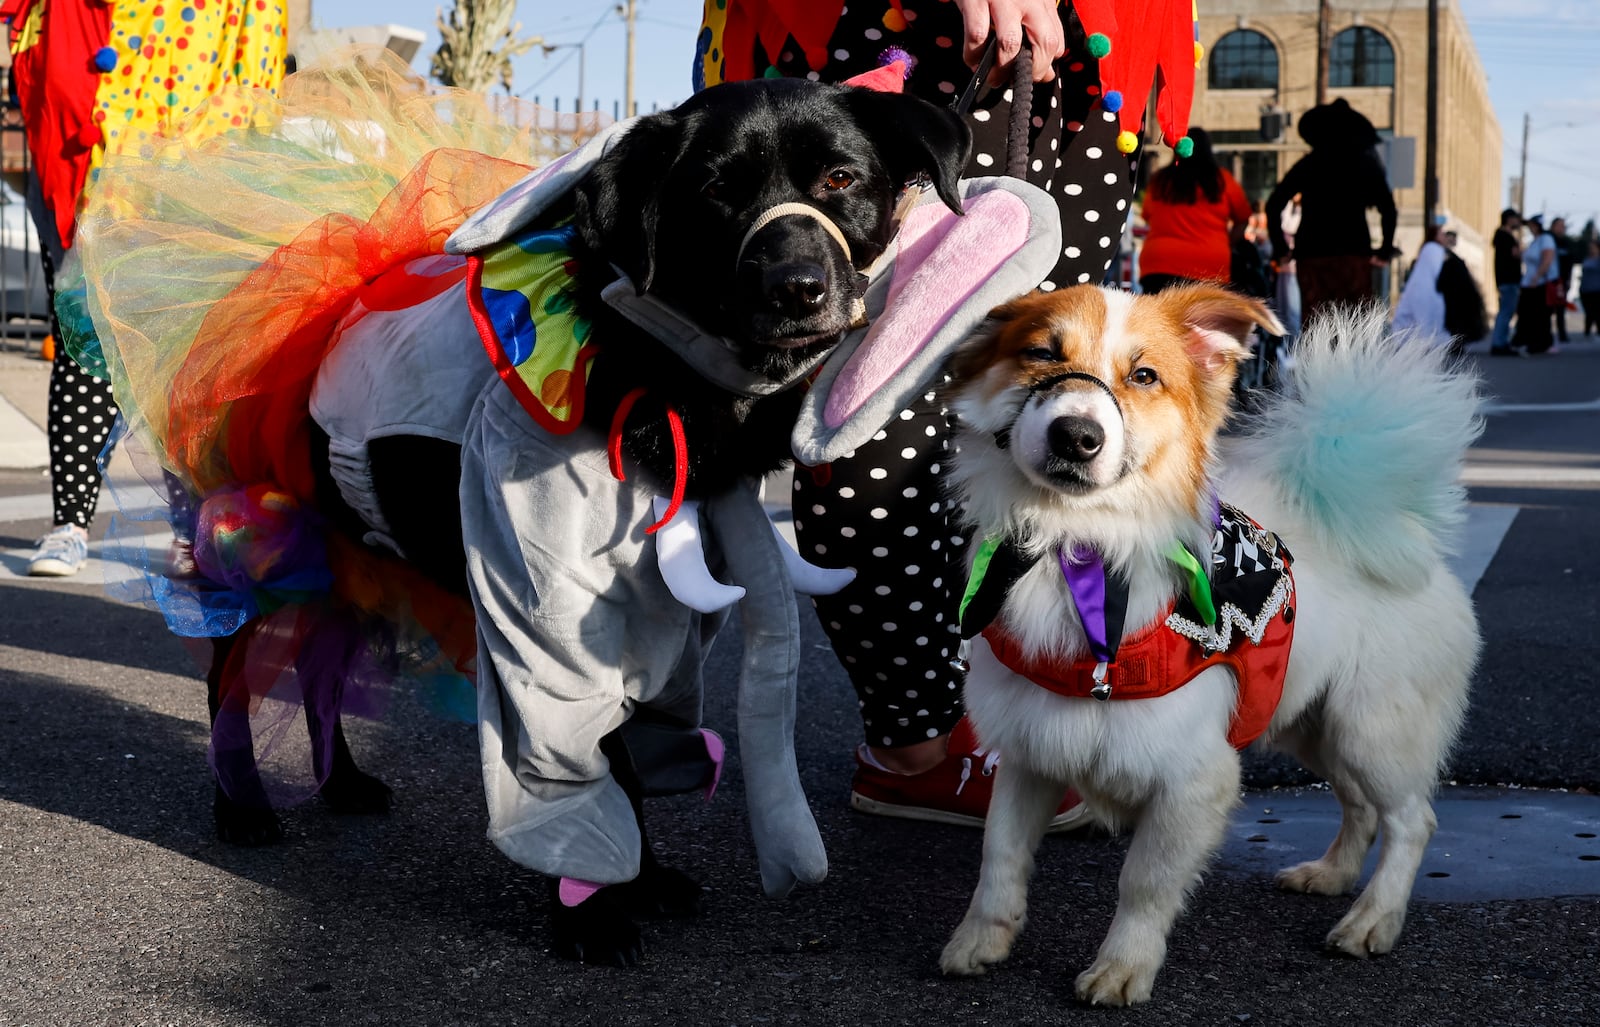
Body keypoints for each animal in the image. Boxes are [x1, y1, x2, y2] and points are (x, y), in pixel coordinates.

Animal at [204, 77, 966, 959]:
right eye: (716, 190)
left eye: (841, 179)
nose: (798, 288)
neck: (657, 365)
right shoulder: (548, 613)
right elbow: (576, 757)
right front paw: (591, 912)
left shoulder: (658, 615)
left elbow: (627, 750)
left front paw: (642, 878)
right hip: (268, 540)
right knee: (229, 672)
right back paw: (241, 804)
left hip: (355, 550)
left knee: (321, 662)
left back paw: (343, 781)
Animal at [934, 284, 1472, 1004]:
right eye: (1041, 353)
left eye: (1144, 376)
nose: (1077, 435)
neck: (1082, 546)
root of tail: (1392, 529)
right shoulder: (1031, 751)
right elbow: (1000, 858)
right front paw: (980, 940)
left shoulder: (1193, 779)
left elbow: (1144, 883)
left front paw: (1124, 965)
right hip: (1310, 724)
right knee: (1359, 804)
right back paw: (1330, 875)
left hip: (1373, 730)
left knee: (1413, 820)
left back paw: (1373, 919)